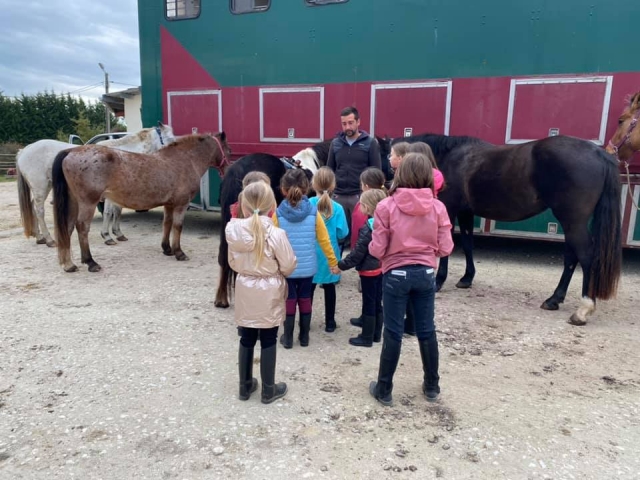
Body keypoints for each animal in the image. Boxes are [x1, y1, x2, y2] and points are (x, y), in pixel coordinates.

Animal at [16, 123, 175, 247]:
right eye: (170, 139)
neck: (122, 156)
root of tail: (25, 150)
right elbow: (109, 212)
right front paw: (107, 236)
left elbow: (117, 211)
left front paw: (118, 234)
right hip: (41, 186)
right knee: (39, 211)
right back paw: (49, 240)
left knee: (33, 207)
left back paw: (40, 237)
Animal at [52, 132, 231, 273]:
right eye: (228, 150)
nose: (228, 170)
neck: (185, 159)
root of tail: (71, 151)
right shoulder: (181, 204)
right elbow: (177, 227)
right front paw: (179, 252)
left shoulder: (169, 204)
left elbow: (167, 224)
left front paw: (167, 249)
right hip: (88, 202)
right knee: (82, 227)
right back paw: (91, 262)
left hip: (74, 203)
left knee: (68, 227)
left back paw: (68, 264)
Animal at [387, 132, 622, 326]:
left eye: (389, 157)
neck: (451, 157)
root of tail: (598, 153)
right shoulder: (466, 212)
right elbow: (468, 244)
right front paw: (467, 278)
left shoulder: (449, 209)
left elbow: (448, 246)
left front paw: (439, 281)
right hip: (571, 223)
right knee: (571, 258)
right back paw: (554, 299)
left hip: (573, 221)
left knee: (585, 256)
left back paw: (583, 310)